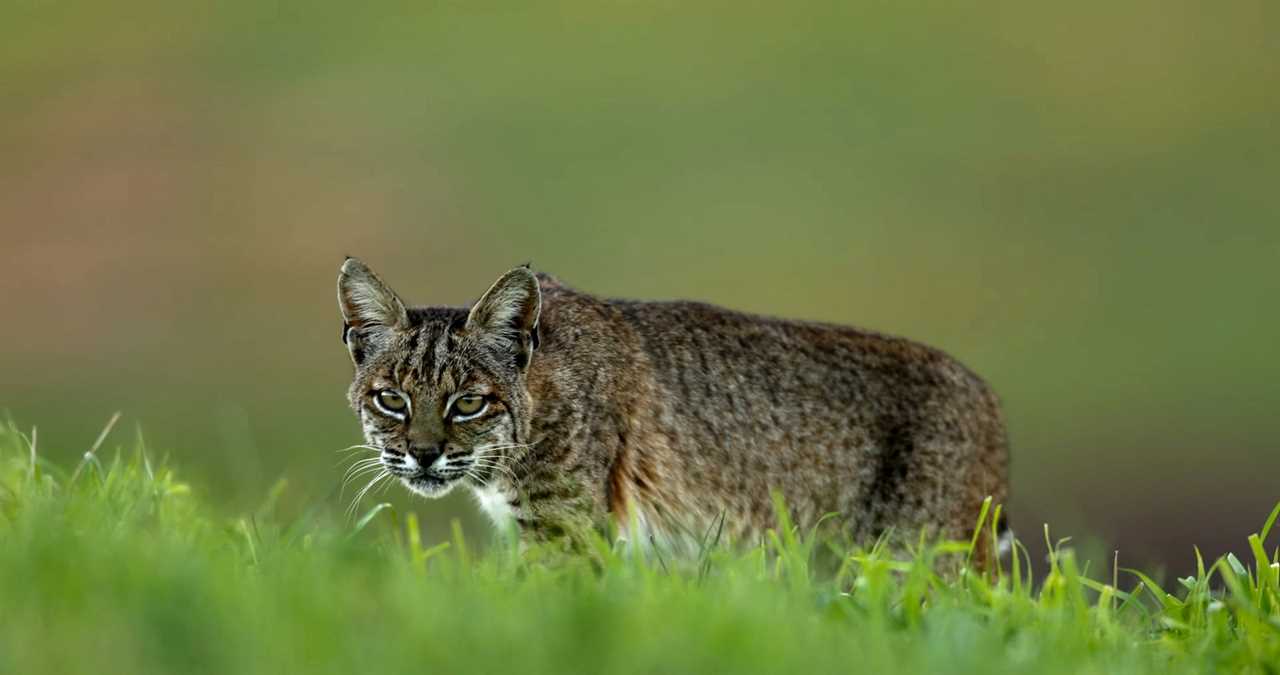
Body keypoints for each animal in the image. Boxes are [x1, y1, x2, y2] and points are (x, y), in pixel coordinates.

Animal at [337, 261, 1008, 563]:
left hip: (918, 551)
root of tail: (986, 391)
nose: (424, 455)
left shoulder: (565, 532)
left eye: (469, 403)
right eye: (391, 399)